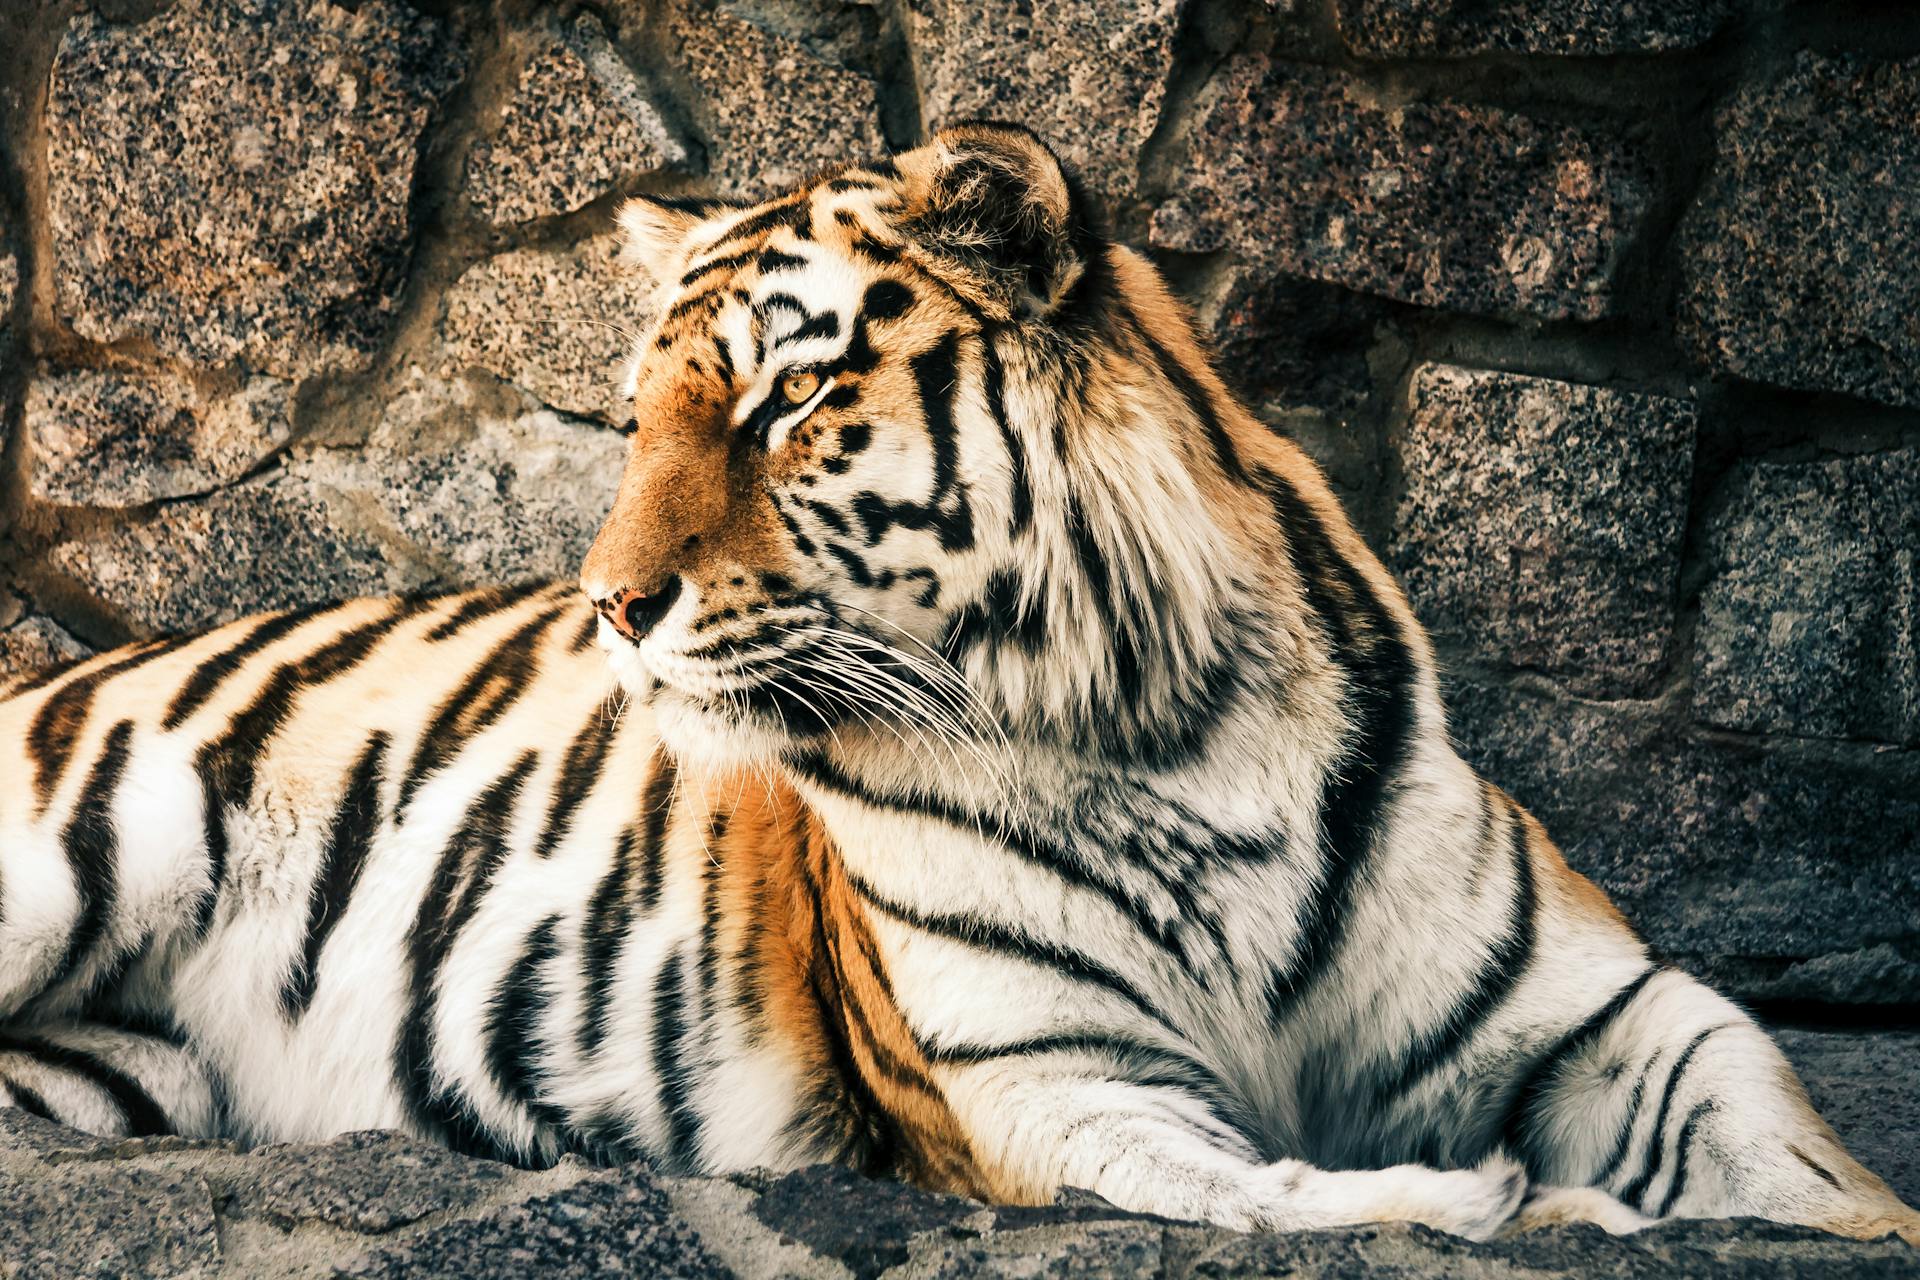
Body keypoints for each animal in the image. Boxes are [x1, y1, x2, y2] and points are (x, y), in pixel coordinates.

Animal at [3, 124, 1920, 1243]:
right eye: (632, 422)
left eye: (784, 402)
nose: (610, 606)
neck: (1164, 733)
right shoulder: (1048, 1081)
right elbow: (1283, 1196)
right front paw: (1512, 1203)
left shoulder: (1607, 1009)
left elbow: (1798, 1143)